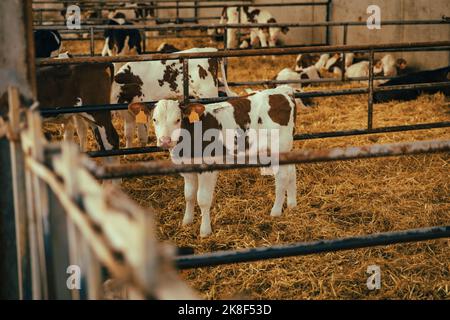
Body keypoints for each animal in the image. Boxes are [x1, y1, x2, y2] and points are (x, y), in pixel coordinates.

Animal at [125, 86, 298, 236]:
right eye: (154, 119)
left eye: (177, 120)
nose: (165, 141)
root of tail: (282, 91)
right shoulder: (186, 168)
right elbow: (189, 195)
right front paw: (187, 221)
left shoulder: (207, 168)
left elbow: (202, 199)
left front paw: (205, 231)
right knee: (292, 171)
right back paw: (292, 204)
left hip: (278, 149)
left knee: (282, 177)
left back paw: (275, 211)